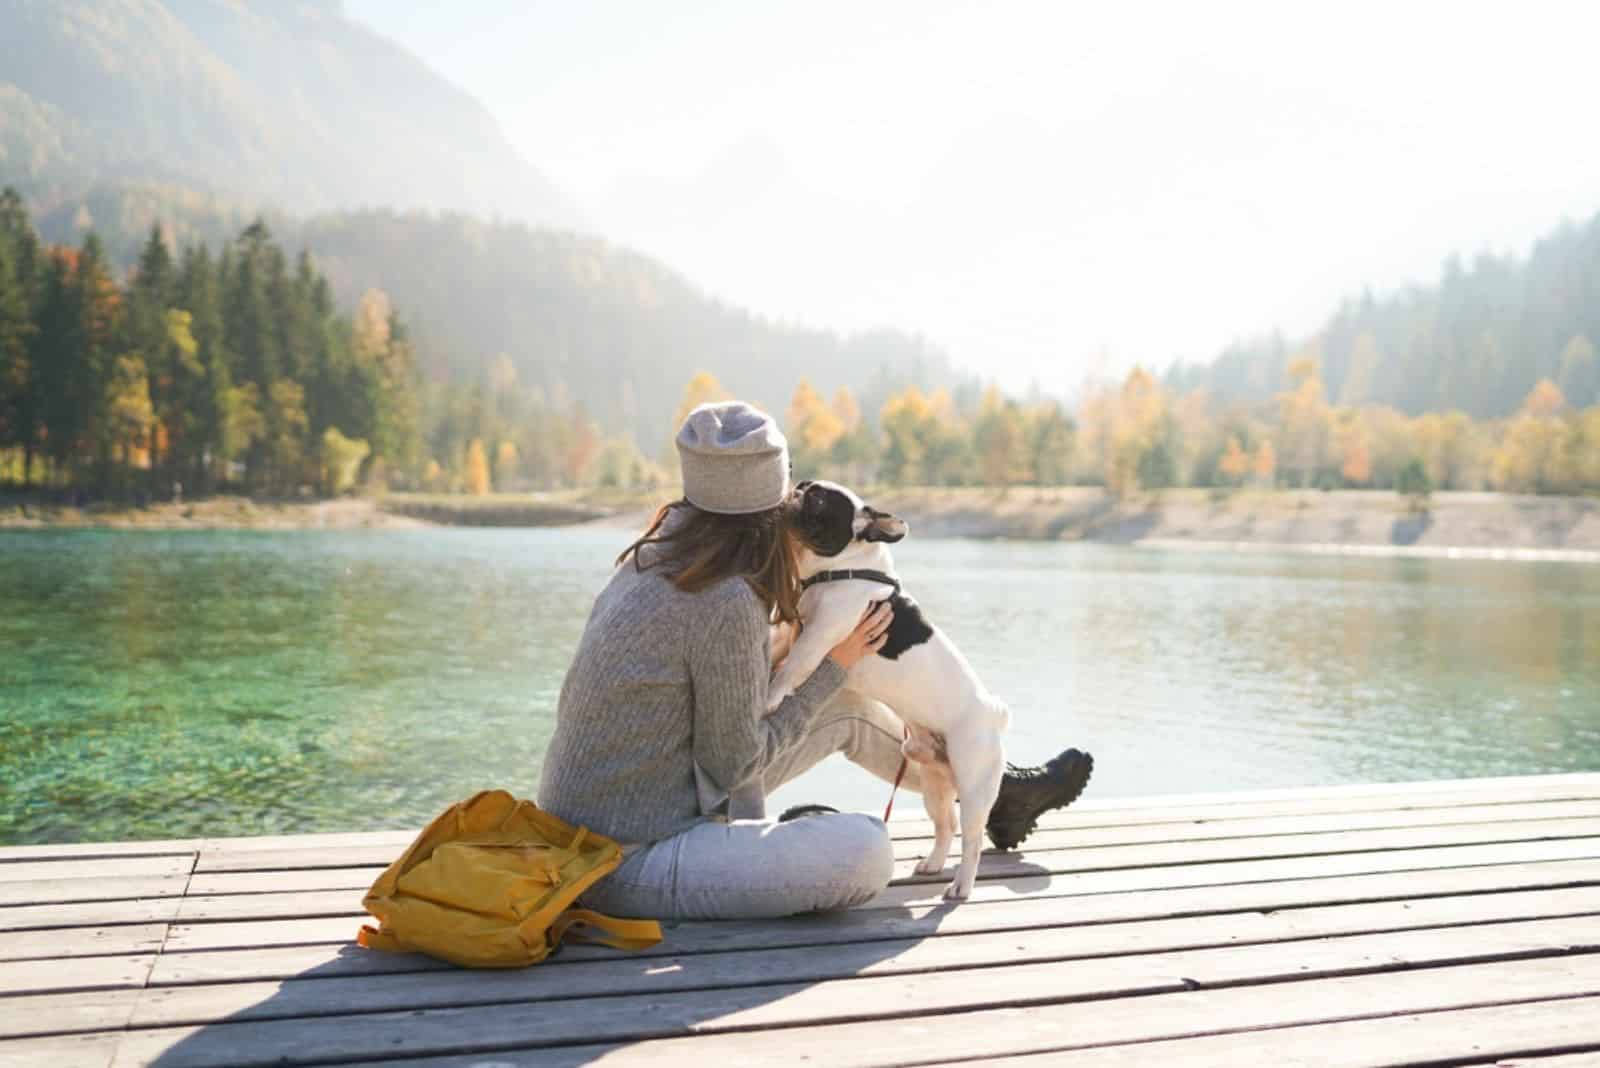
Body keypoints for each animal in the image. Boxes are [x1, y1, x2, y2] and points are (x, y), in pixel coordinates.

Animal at [768, 479, 1004, 895]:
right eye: (805, 487)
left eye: (817, 501)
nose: (795, 489)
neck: (845, 571)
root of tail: (993, 712)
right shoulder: (798, 631)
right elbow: (782, 657)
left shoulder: (814, 641)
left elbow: (790, 669)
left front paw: (770, 695)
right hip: (934, 782)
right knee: (946, 824)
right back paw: (933, 863)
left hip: (974, 784)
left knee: (972, 838)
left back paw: (961, 886)